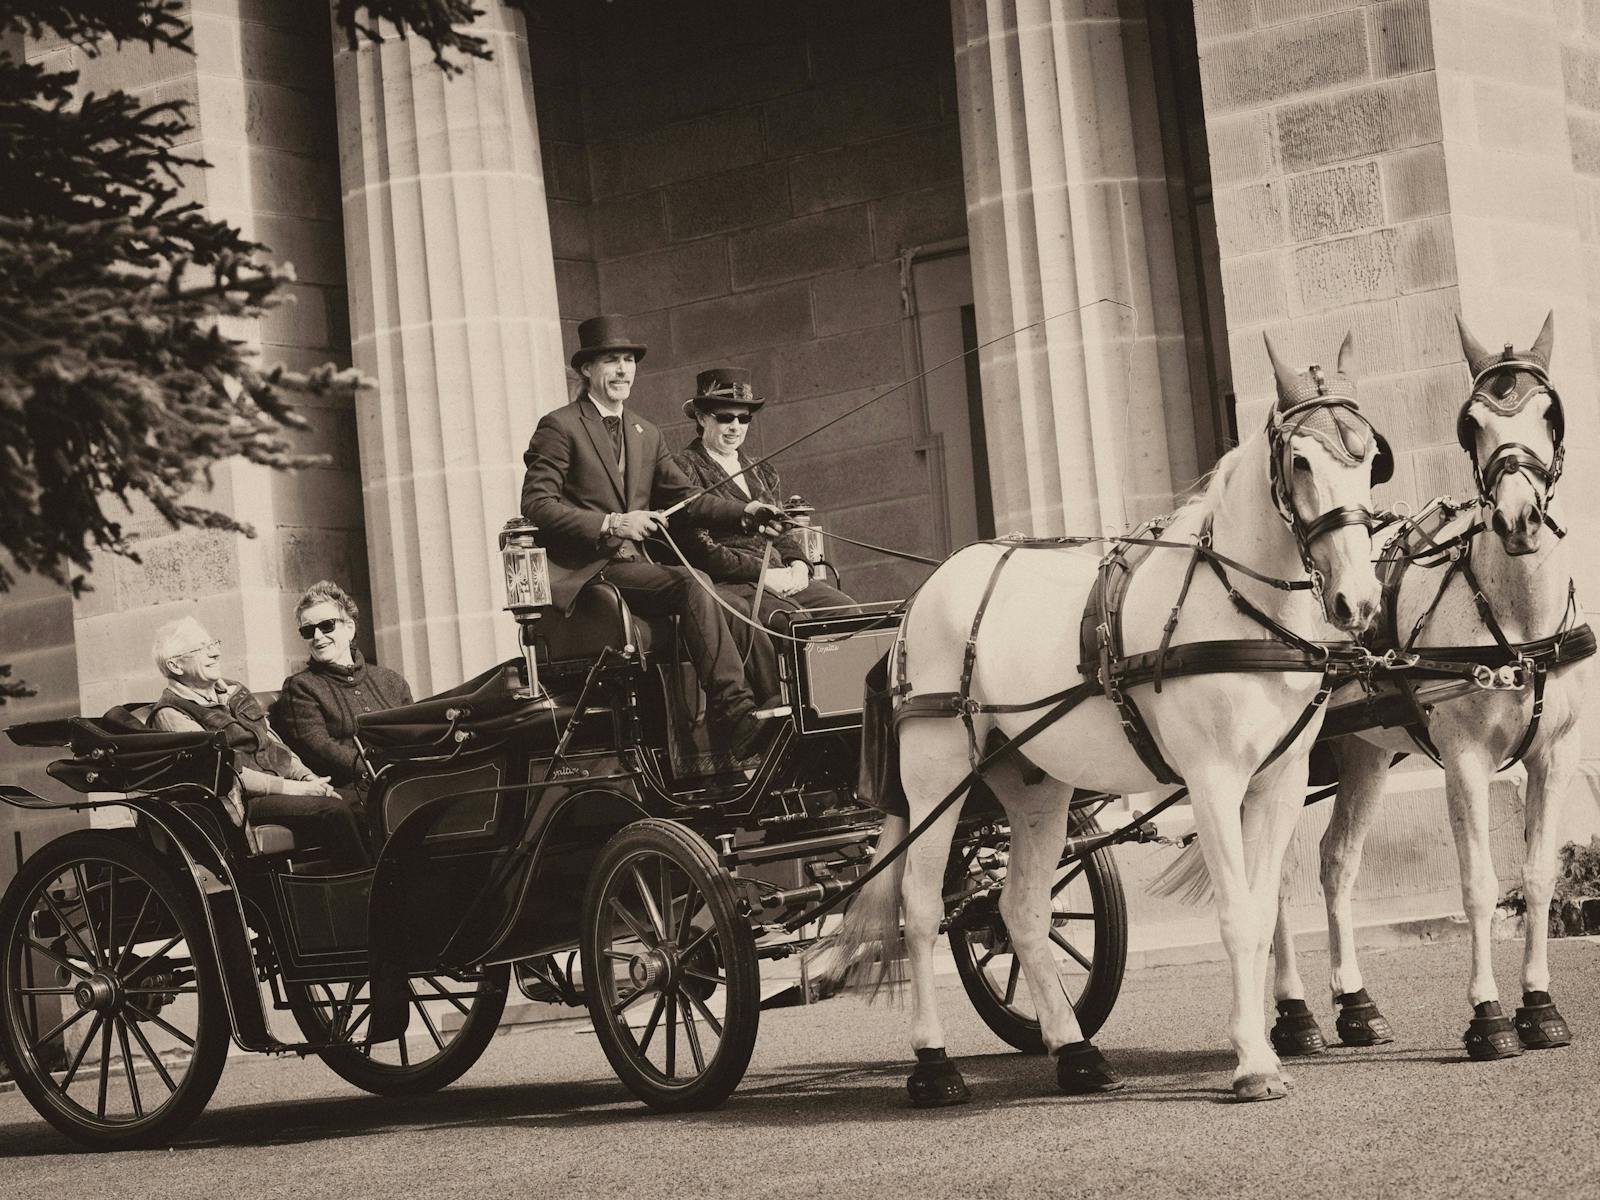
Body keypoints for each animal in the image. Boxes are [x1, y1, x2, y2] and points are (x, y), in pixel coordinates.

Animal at [819, 334, 1395, 1107]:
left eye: (1369, 459)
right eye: (1300, 460)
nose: (1356, 603)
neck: (1240, 607)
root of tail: (923, 596)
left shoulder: (1278, 780)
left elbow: (1260, 903)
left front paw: (1273, 1038)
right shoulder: (1213, 779)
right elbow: (1236, 912)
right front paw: (1253, 1058)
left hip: (1034, 785)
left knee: (1020, 910)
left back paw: (1075, 1052)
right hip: (936, 774)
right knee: (921, 903)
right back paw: (934, 1064)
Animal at [1267, 316, 1593, 1062]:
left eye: (1550, 414)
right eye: (1471, 423)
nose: (1518, 520)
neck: (1515, 623)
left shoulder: (1555, 756)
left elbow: (1536, 875)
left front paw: (1540, 1006)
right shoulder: (1465, 761)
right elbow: (1478, 884)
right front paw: (1488, 1016)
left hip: (1362, 756)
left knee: (1336, 863)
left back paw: (1355, 1005)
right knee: (1269, 881)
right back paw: (1294, 1016)